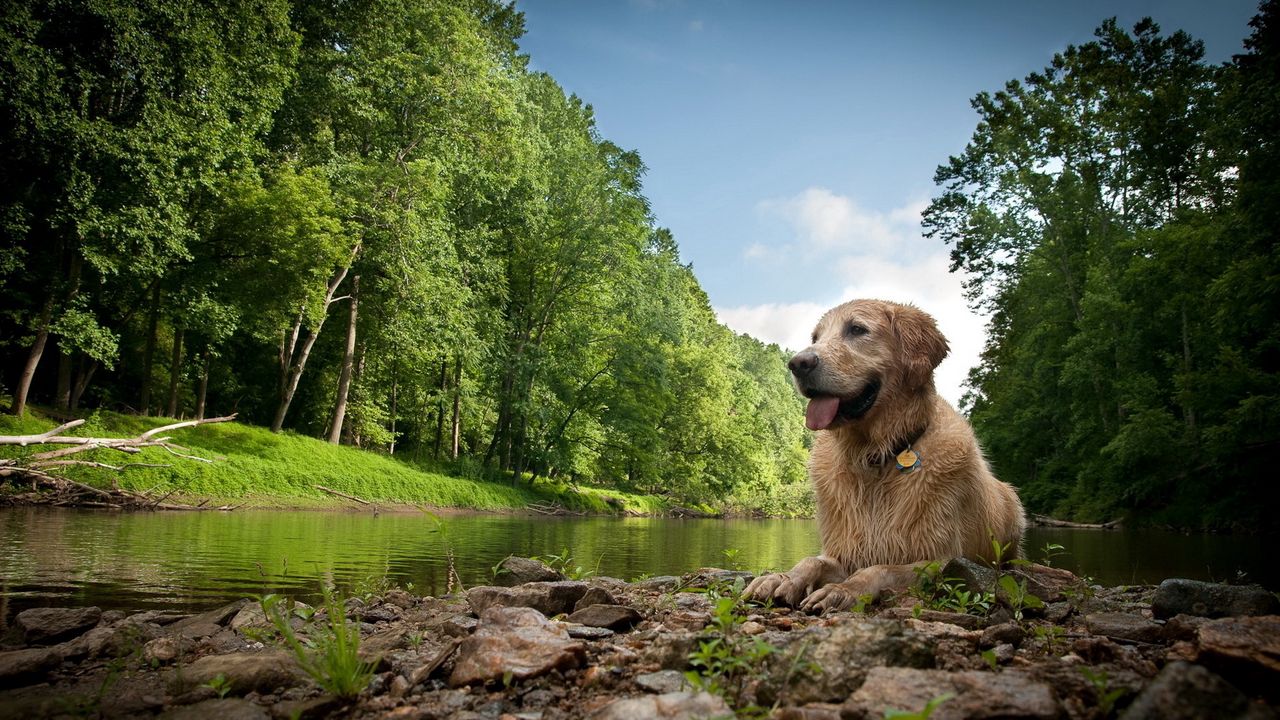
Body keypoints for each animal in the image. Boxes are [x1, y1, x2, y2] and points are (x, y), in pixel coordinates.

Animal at [747, 297, 1024, 609]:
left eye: (857, 329)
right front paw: (779, 578)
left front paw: (841, 590)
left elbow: (878, 569)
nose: (798, 363)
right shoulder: (845, 552)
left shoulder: (940, 560)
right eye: (816, 338)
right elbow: (810, 560)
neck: (875, 457)